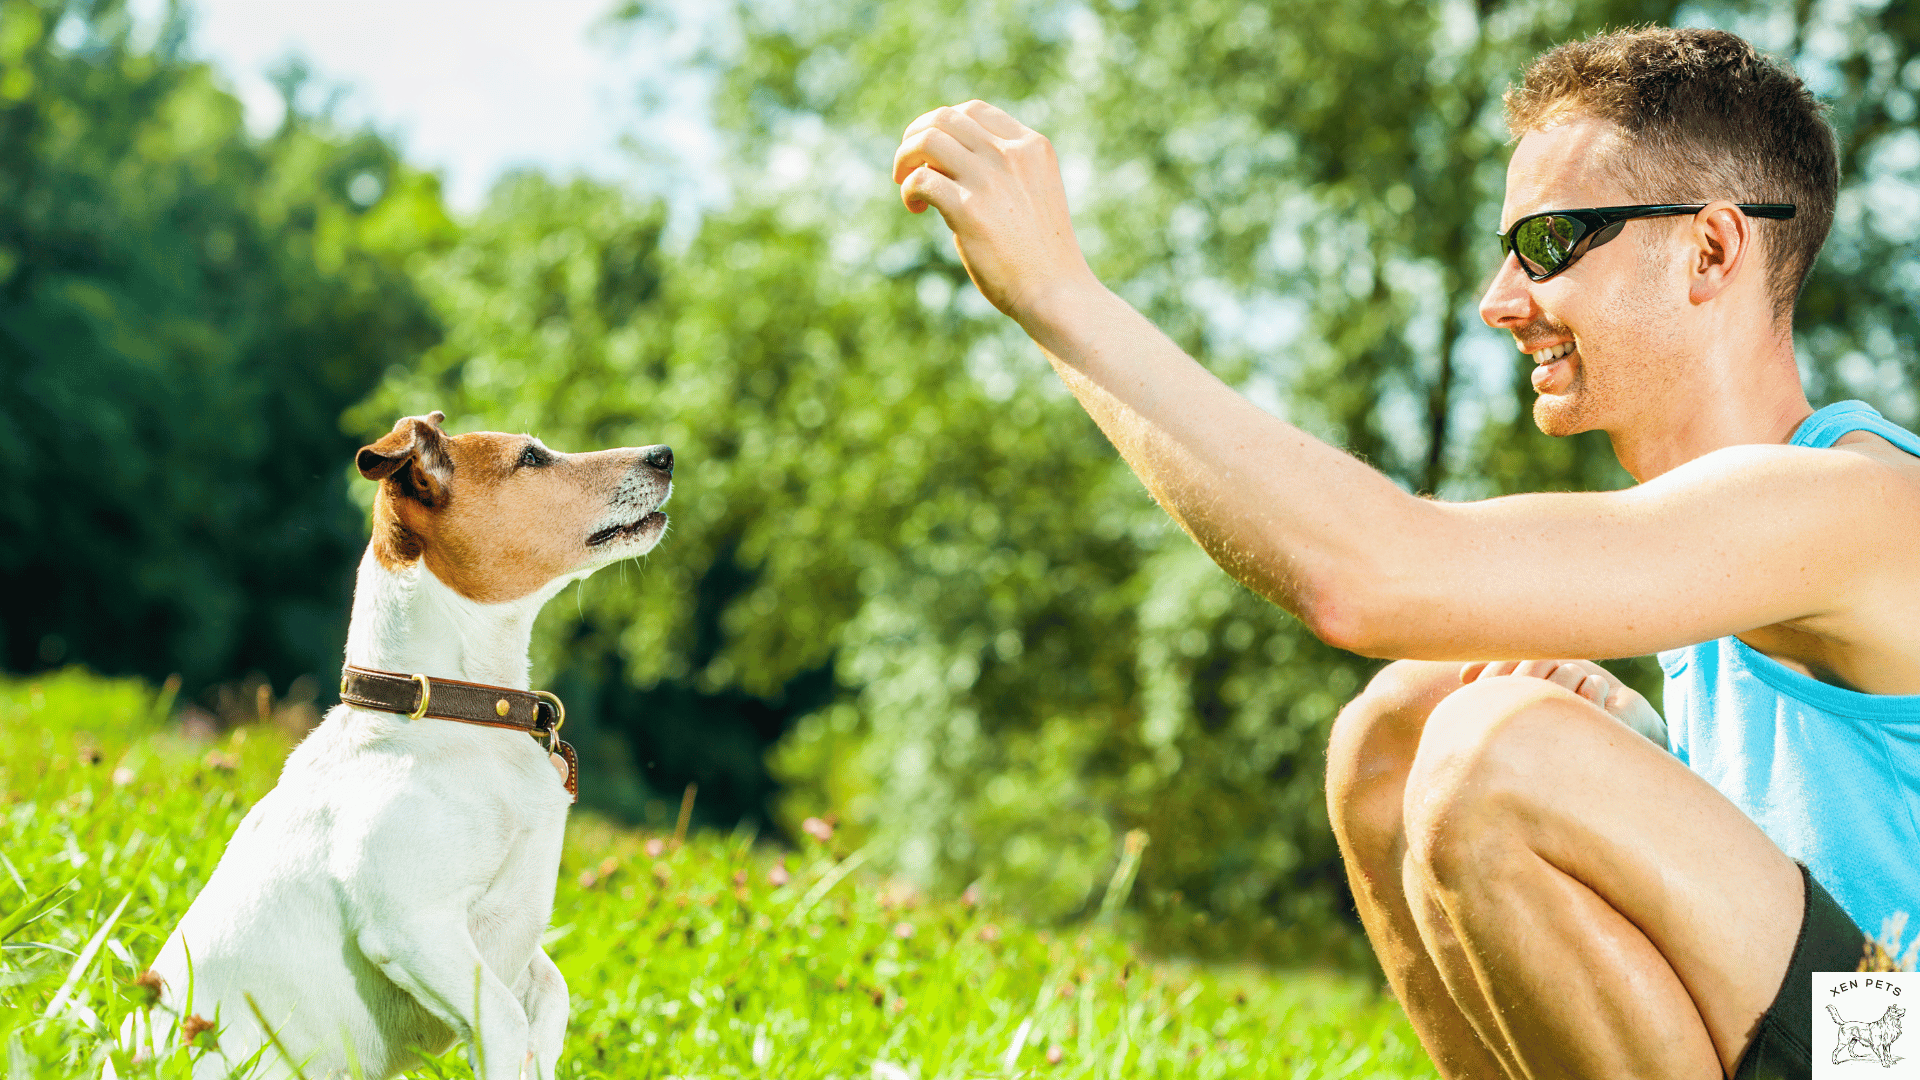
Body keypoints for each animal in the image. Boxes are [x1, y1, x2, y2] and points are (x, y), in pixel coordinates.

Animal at [133, 407, 668, 1068]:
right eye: (531, 458)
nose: (666, 454)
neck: (459, 715)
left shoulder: (514, 939)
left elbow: (551, 997)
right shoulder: (415, 926)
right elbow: (506, 1019)